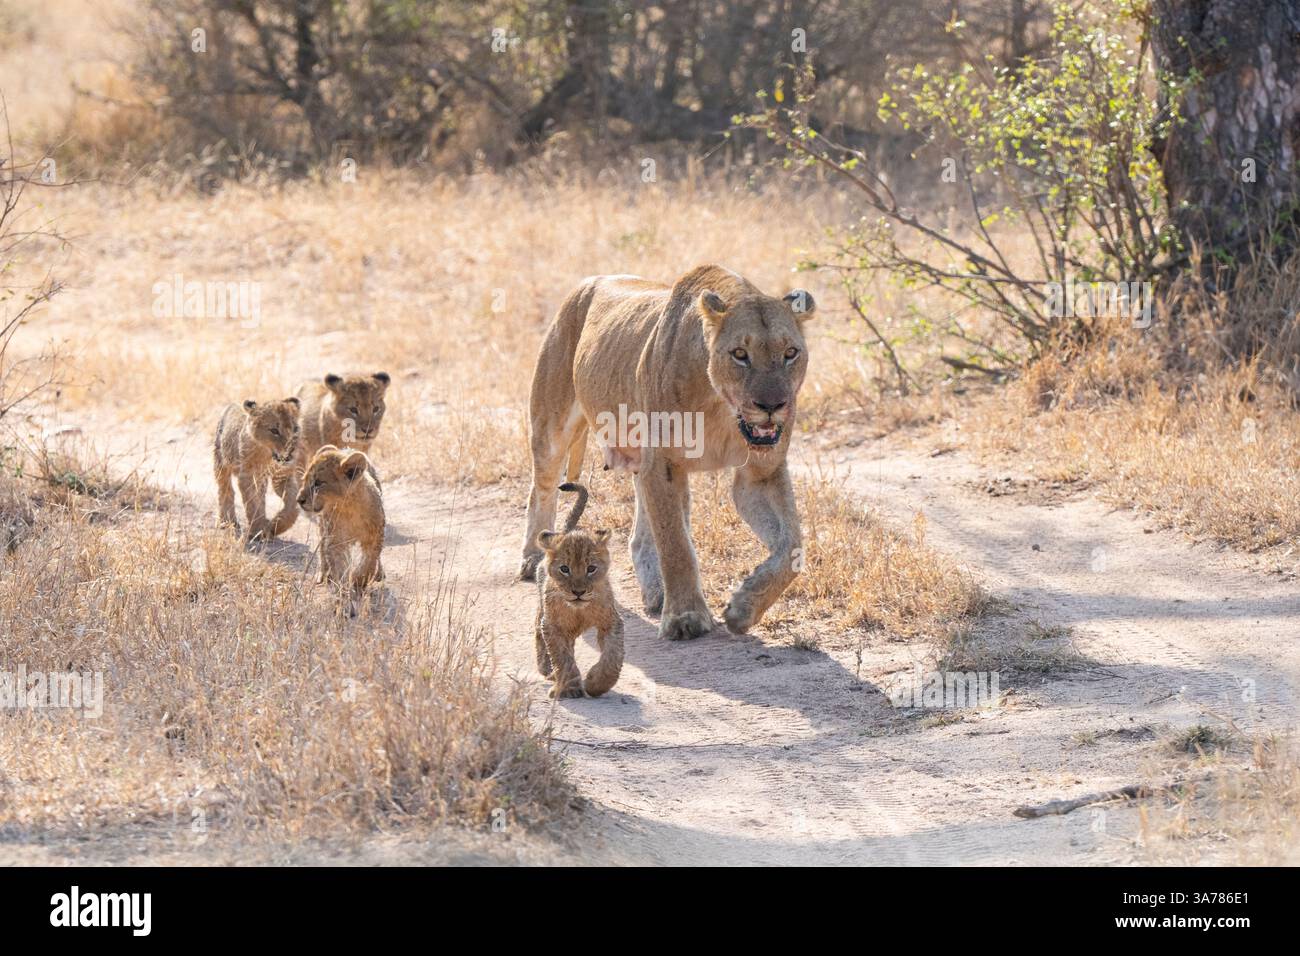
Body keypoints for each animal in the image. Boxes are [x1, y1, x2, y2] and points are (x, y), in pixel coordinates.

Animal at [213, 397, 302, 542]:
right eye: (274, 430)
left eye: (295, 429)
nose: (291, 452)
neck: (266, 455)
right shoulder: (246, 476)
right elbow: (252, 504)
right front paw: (257, 531)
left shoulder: (283, 475)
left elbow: (292, 506)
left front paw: (275, 527)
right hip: (220, 461)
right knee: (225, 490)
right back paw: (227, 521)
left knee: (260, 496)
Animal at [296, 444, 385, 613]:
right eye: (304, 480)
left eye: (318, 483)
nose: (299, 500)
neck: (348, 508)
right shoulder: (336, 542)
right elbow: (339, 568)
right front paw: (344, 600)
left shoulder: (374, 538)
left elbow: (368, 562)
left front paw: (358, 581)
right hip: (323, 526)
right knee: (322, 550)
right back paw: (323, 574)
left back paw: (379, 573)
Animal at [520, 265, 814, 642]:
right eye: (740, 354)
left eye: (790, 353)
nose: (772, 406)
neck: (720, 406)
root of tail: (588, 282)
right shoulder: (663, 463)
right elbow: (676, 546)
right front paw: (685, 618)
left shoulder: (760, 473)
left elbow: (792, 547)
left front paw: (743, 608)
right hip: (552, 425)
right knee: (541, 487)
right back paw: (534, 560)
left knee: (640, 535)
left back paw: (657, 594)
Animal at [533, 482, 624, 698]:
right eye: (564, 569)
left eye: (591, 568)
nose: (578, 592)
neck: (579, 611)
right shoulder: (552, 626)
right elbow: (562, 657)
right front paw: (569, 688)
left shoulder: (611, 621)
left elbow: (613, 656)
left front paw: (595, 683)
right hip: (542, 609)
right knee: (538, 631)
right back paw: (547, 669)